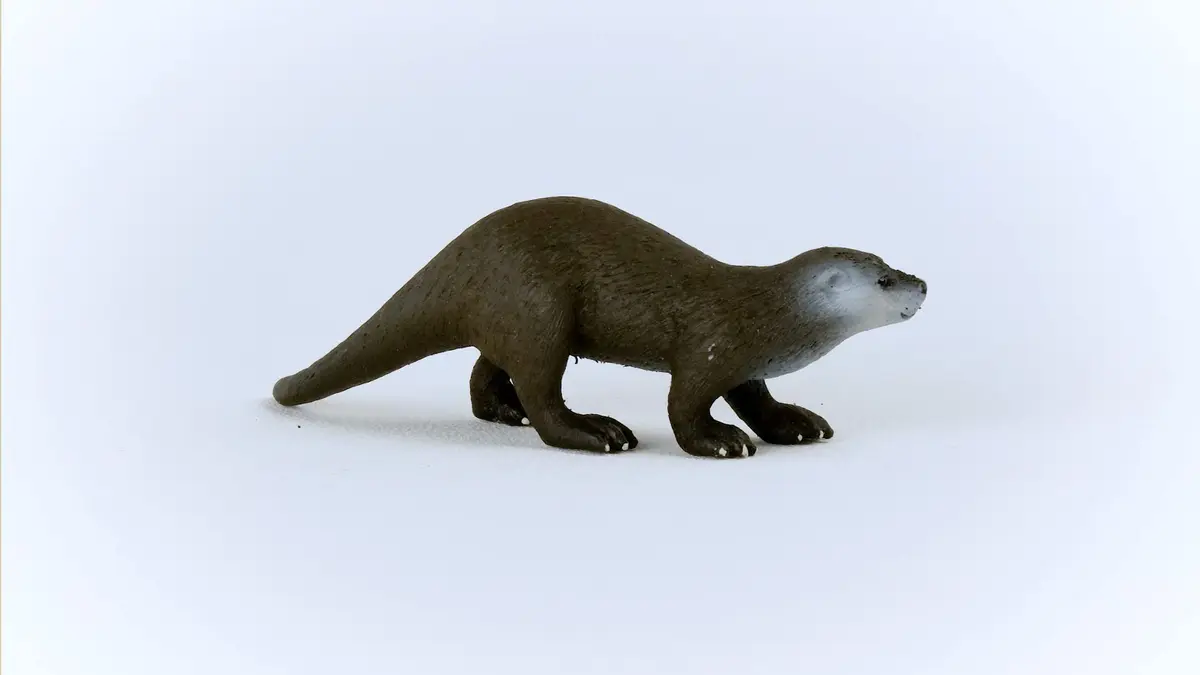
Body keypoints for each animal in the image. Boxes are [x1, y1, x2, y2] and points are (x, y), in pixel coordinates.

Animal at [272, 196, 927, 458]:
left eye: (893, 263)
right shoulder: (712, 346)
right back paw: (596, 431)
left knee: (488, 367)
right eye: (883, 280)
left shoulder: (746, 365)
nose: (921, 283)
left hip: (511, 314)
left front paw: (794, 422)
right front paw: (720, 441)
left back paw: (502, 411)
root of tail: (463, 252)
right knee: (542, 394)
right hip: (538, 307)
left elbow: (758, 400)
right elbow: (684, 406)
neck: (766, 314)